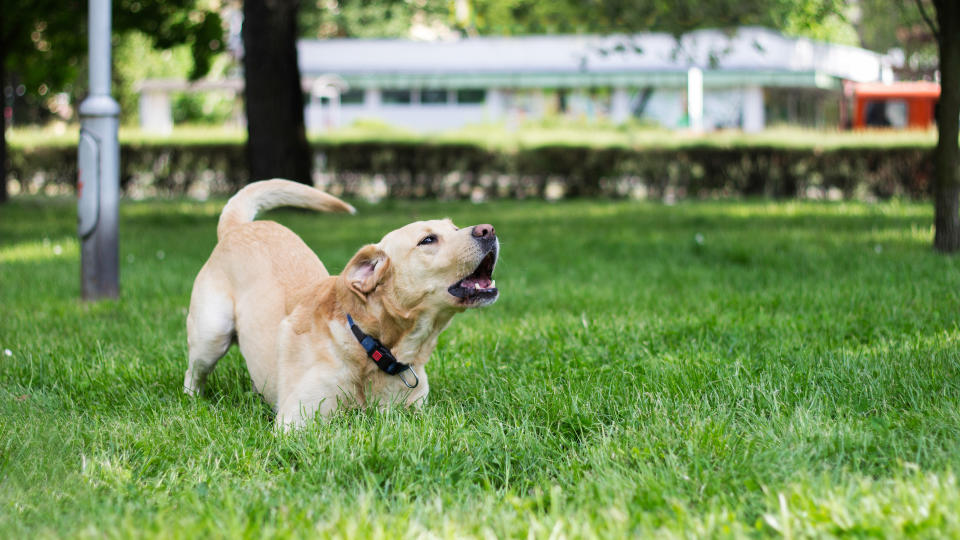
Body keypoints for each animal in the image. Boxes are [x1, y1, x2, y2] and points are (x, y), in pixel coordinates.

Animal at [186, 179, 502, 428]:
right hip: (212, 335)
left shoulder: (417, 413)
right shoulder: (296, 421)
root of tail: (238, 228)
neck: (370, 344)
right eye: (427, 240)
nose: (488, 229)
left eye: (455, 227)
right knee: (193, 374)